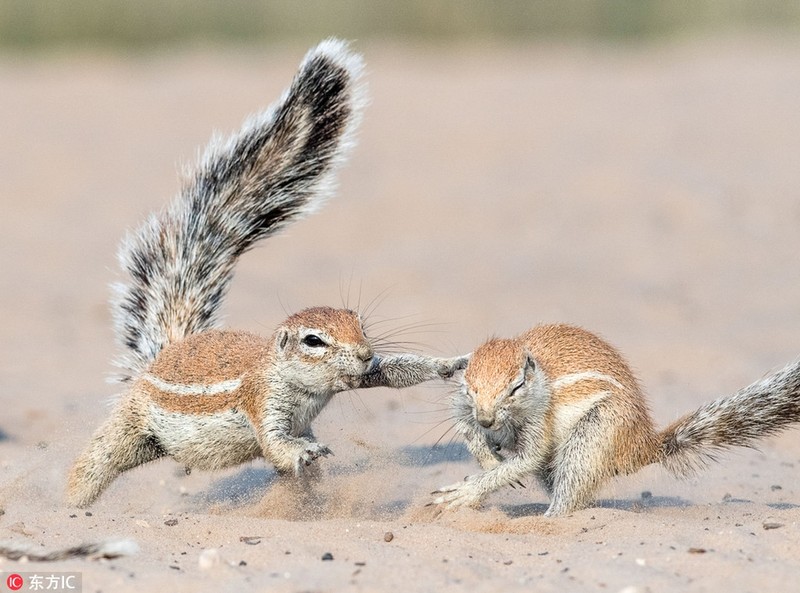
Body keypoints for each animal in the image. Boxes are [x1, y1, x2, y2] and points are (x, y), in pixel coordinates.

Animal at [70, 39, 468, 506]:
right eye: (313, 341)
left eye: (360, 325)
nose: (365, 353)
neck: (299, 385)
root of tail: (163, 354)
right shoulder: (262, 402)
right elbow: (276, 442)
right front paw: (303, 451)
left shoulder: (356, 377)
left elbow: (396, 373)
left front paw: (449, 364)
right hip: (129, 425)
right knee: (93, 463)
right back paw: (70, 507)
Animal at [434, 322, 800, 516]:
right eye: (469, 386)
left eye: (516, 387)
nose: (486, 420)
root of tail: (641, 445)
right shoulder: (461, 405)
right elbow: (464, 425)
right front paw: (488, 461)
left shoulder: (540, 419)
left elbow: (527, 458)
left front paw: (468, 492)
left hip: (594, 435)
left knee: (570, 491)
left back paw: (547, 517)